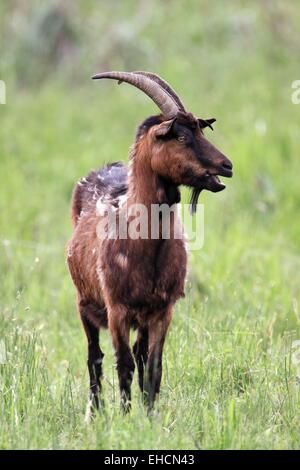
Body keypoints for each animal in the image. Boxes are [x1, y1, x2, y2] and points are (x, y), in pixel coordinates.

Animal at [67, 71, 233, 416]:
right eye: (180, 137)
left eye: (200, 130)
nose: (227, 166)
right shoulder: (117, 309)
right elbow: (124, 364)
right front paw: (126, 416)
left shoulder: (162, 310)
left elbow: (153, 365)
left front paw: (150, 416)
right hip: (84, 302)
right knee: (95, 356)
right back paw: (96, 411)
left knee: (138, 355)